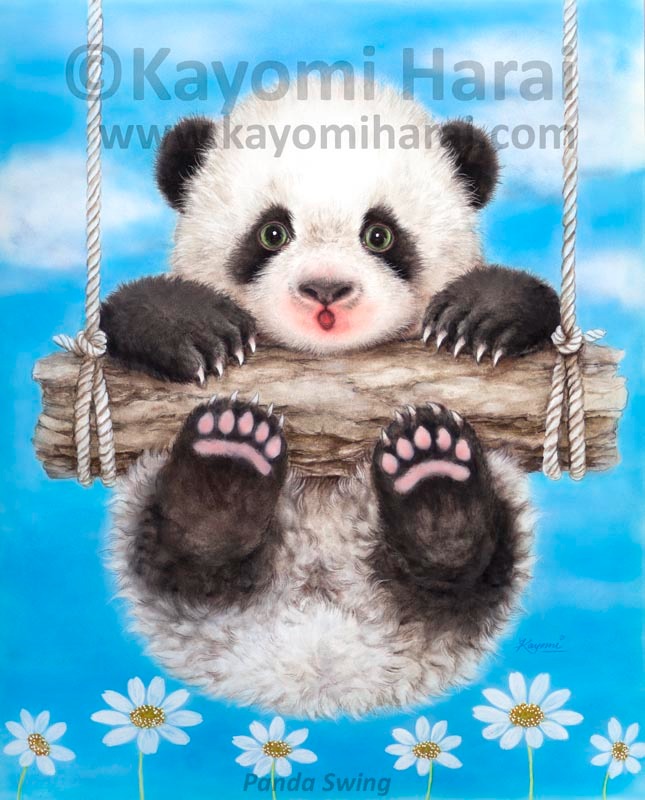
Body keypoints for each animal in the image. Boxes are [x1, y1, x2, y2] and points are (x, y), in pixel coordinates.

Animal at [101, 82, 560, 719]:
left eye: (380, 234)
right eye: (272, 232)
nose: (325, 291)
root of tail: (323, 656)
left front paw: (481, 316)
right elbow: (122, 316)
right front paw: (193, 330)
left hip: (494, 529)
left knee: (470, 574)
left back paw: (433, 481)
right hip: (147, 529)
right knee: (179, 561)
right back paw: (225, 467)